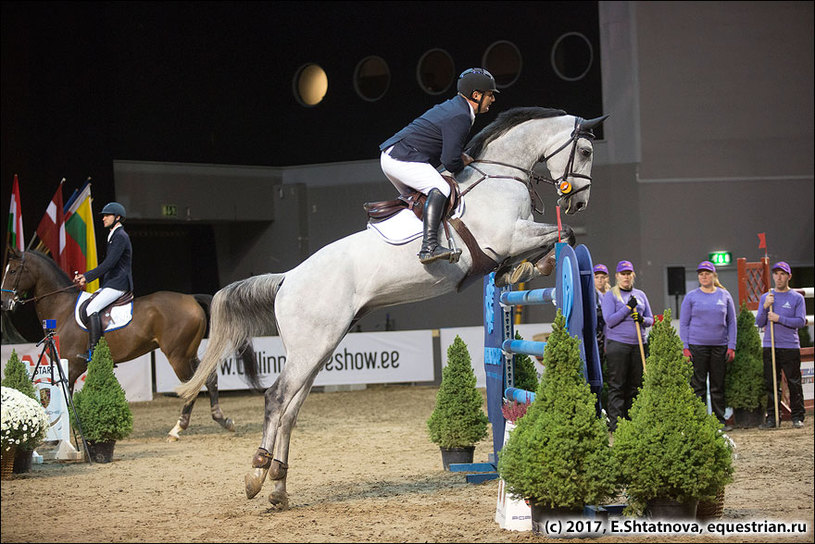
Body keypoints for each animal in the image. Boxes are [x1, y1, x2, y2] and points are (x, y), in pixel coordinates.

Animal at [0, 249, 236, 440]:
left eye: (13, 271)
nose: (4, 303)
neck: (62, 309)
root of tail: (191, 298)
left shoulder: (72, 365)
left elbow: (67, 398)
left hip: (178, 356)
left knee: (192, 386)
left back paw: (177, 429)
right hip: (189, 354)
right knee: (208, 378)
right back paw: (222, 420)